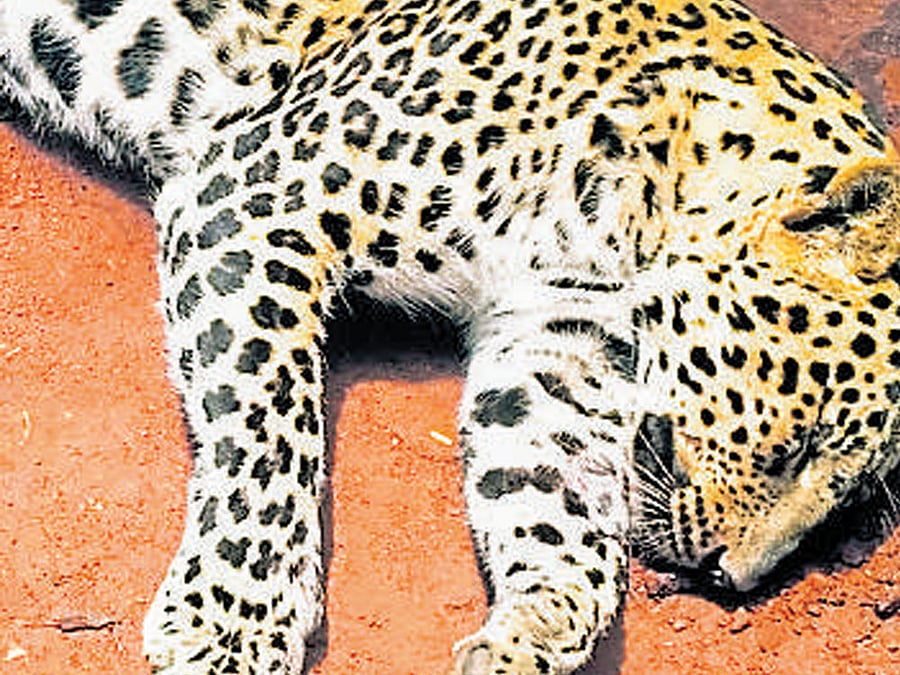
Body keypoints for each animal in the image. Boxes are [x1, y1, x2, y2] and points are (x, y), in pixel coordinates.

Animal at [2, 0, 899, 673]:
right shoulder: (251, 195)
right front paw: (235, 621)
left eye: (851, 501)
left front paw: (535, 628)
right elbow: (273, 431)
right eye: (806, 439)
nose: (733, 580)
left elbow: (559, 503)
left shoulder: (556, 339)